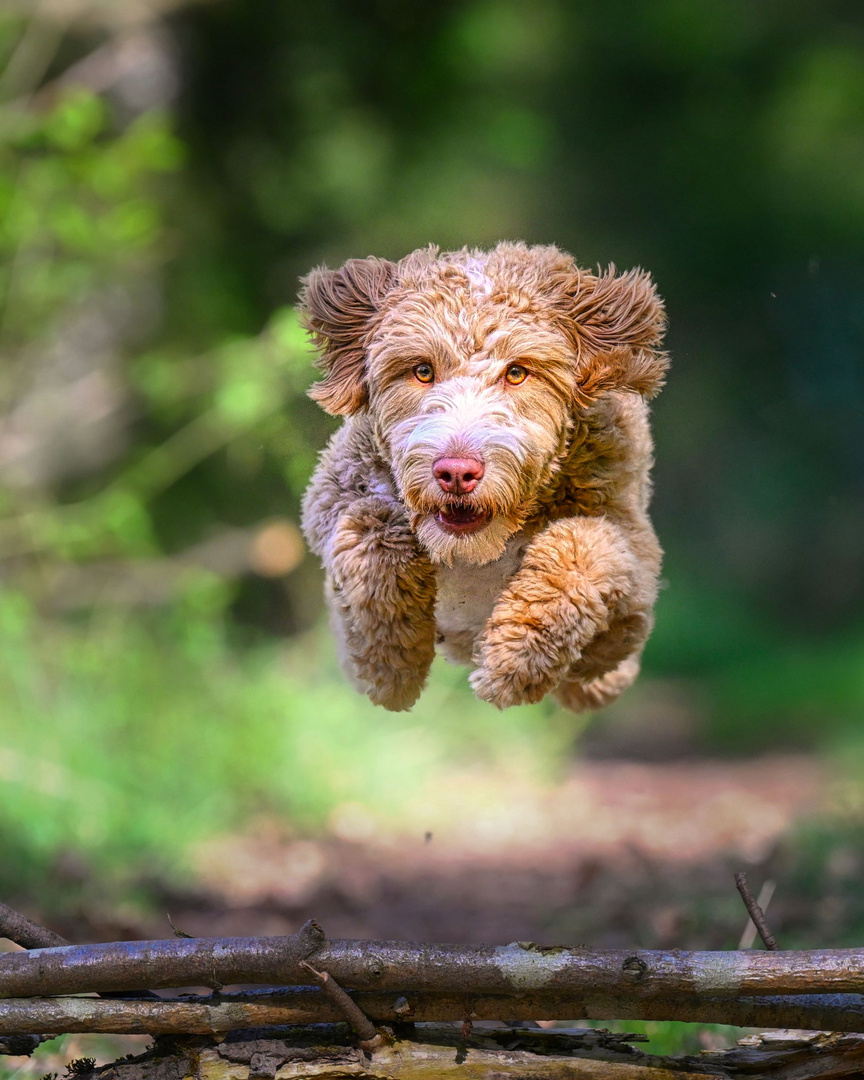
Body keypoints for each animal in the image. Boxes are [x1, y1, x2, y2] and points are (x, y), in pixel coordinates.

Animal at [298, 247, 669, 717]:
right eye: (422, 371)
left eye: (517, 373)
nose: (456, 471)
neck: (474, 554)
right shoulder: (329, 503)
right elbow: (369, 529)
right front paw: (392, 665)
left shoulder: (635, 579)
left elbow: (583, 546)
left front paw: (514, 662)